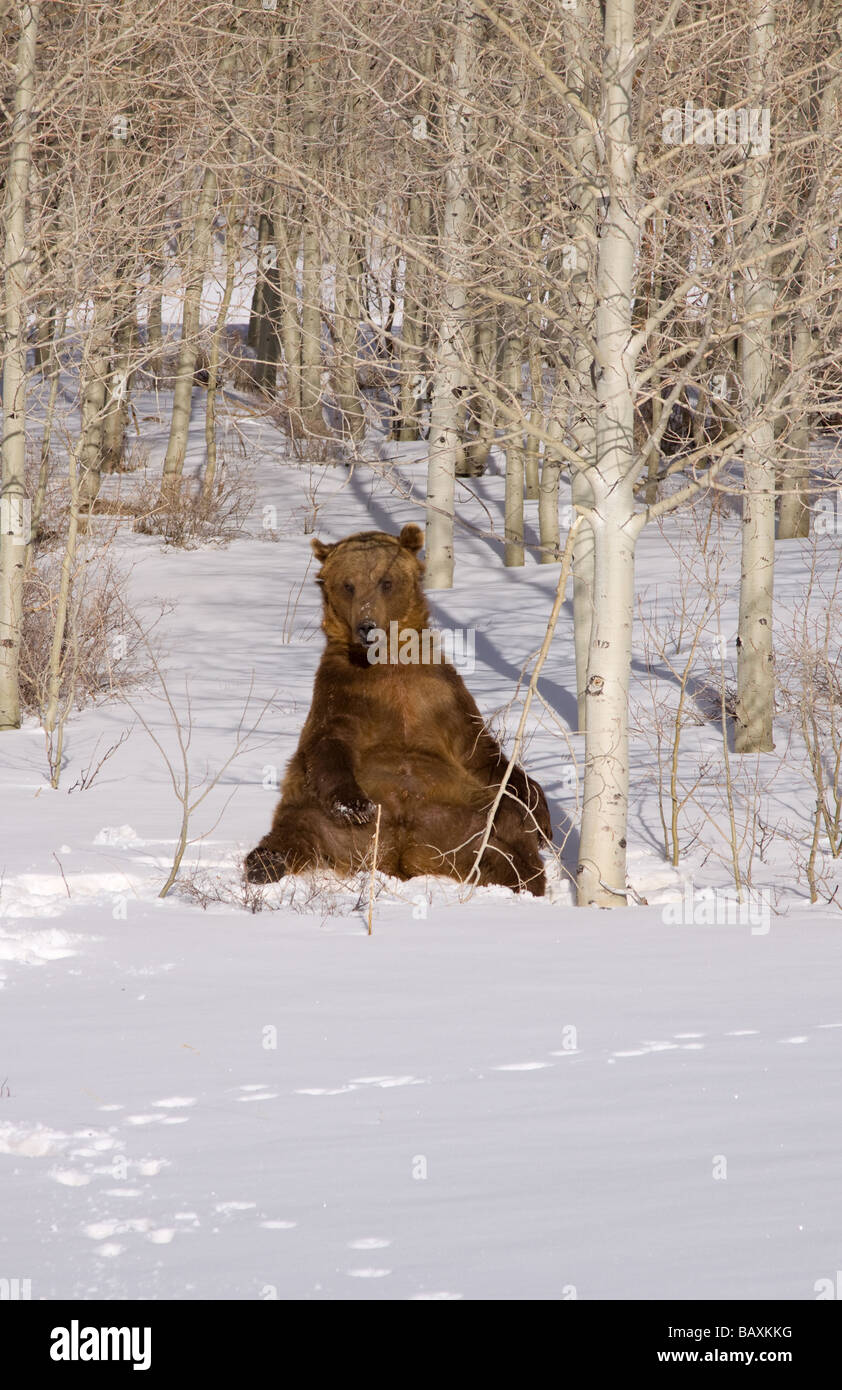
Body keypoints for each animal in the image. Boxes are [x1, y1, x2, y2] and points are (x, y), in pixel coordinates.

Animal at [244, 524, 552, 895]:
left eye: (386, 581)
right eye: (347, 584)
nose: (367, 626)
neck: (388, 662)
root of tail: (403, 856)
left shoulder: (440, 695)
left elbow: (482, 751)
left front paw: (543, 816)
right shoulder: (344, 694)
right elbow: (327, 745)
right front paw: (356, 806)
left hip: (465, 817)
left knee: (507, 831)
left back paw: (524, 875)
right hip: (321, 817)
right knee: (296, 827)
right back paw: (265, 863)